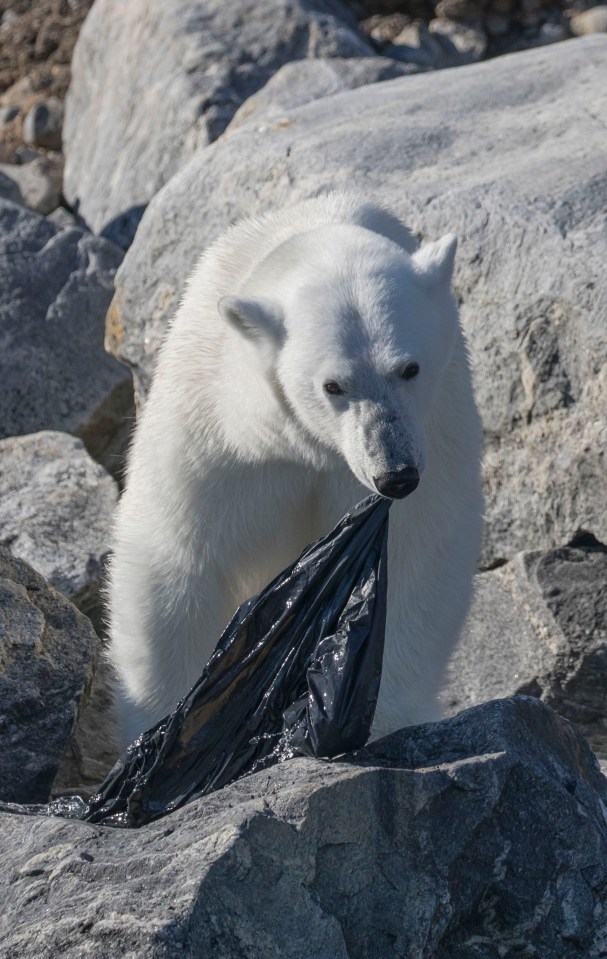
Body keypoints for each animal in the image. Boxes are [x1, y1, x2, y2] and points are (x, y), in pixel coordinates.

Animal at [109, 193, 484, 752]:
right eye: (333, 385)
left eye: (409, 368)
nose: (394, 474)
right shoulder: (217, 435)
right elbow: (176, 559)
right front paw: (161, 729)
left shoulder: (438, 429)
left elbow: (417, 554)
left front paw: (379, 717)